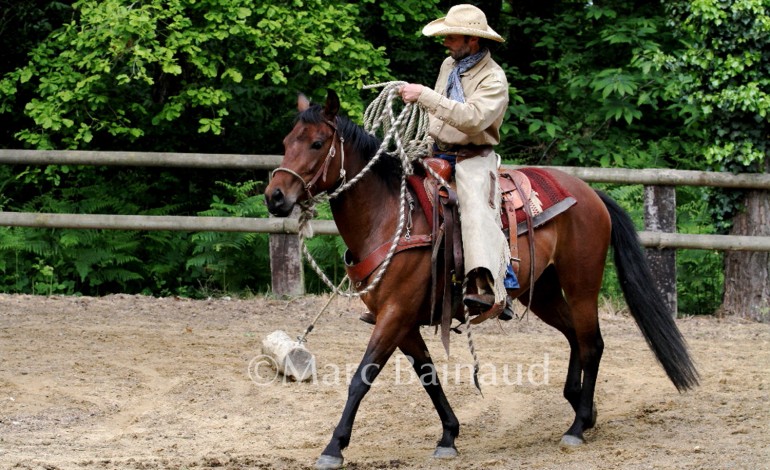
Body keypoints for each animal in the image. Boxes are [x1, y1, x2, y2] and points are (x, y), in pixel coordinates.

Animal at [262, 90, 696, 468]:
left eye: (317, 143)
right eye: (285, 141)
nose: (275, 196)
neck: (391, 217)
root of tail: (590, 194)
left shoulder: (395, 315)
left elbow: (361, 378)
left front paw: (334, 447)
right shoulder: (402, 322)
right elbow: (428, 376)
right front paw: (449, 435)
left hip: (582, 285)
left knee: (592, 344)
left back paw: (577, 426)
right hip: (542, 294)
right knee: (576, 337)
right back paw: (580, 410)